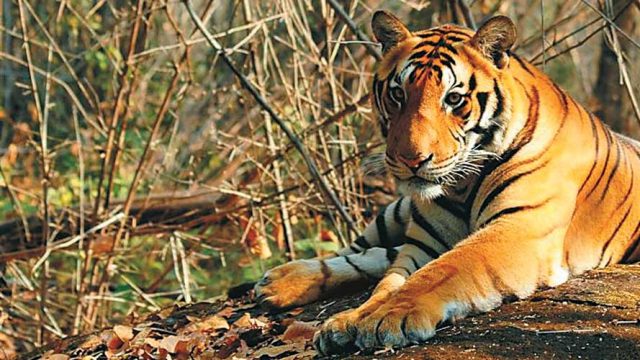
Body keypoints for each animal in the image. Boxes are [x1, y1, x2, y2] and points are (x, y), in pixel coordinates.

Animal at [252, 10, 636, 354]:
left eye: (453, 99)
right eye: (398, 95)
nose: (411, 159)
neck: (461, 184)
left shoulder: (519, 228)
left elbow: (444, 269)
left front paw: (384, 318)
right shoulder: (424, 241)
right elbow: (390, 280)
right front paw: (352, 319)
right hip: (395, 211)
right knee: (364, 251)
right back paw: (280, 281)